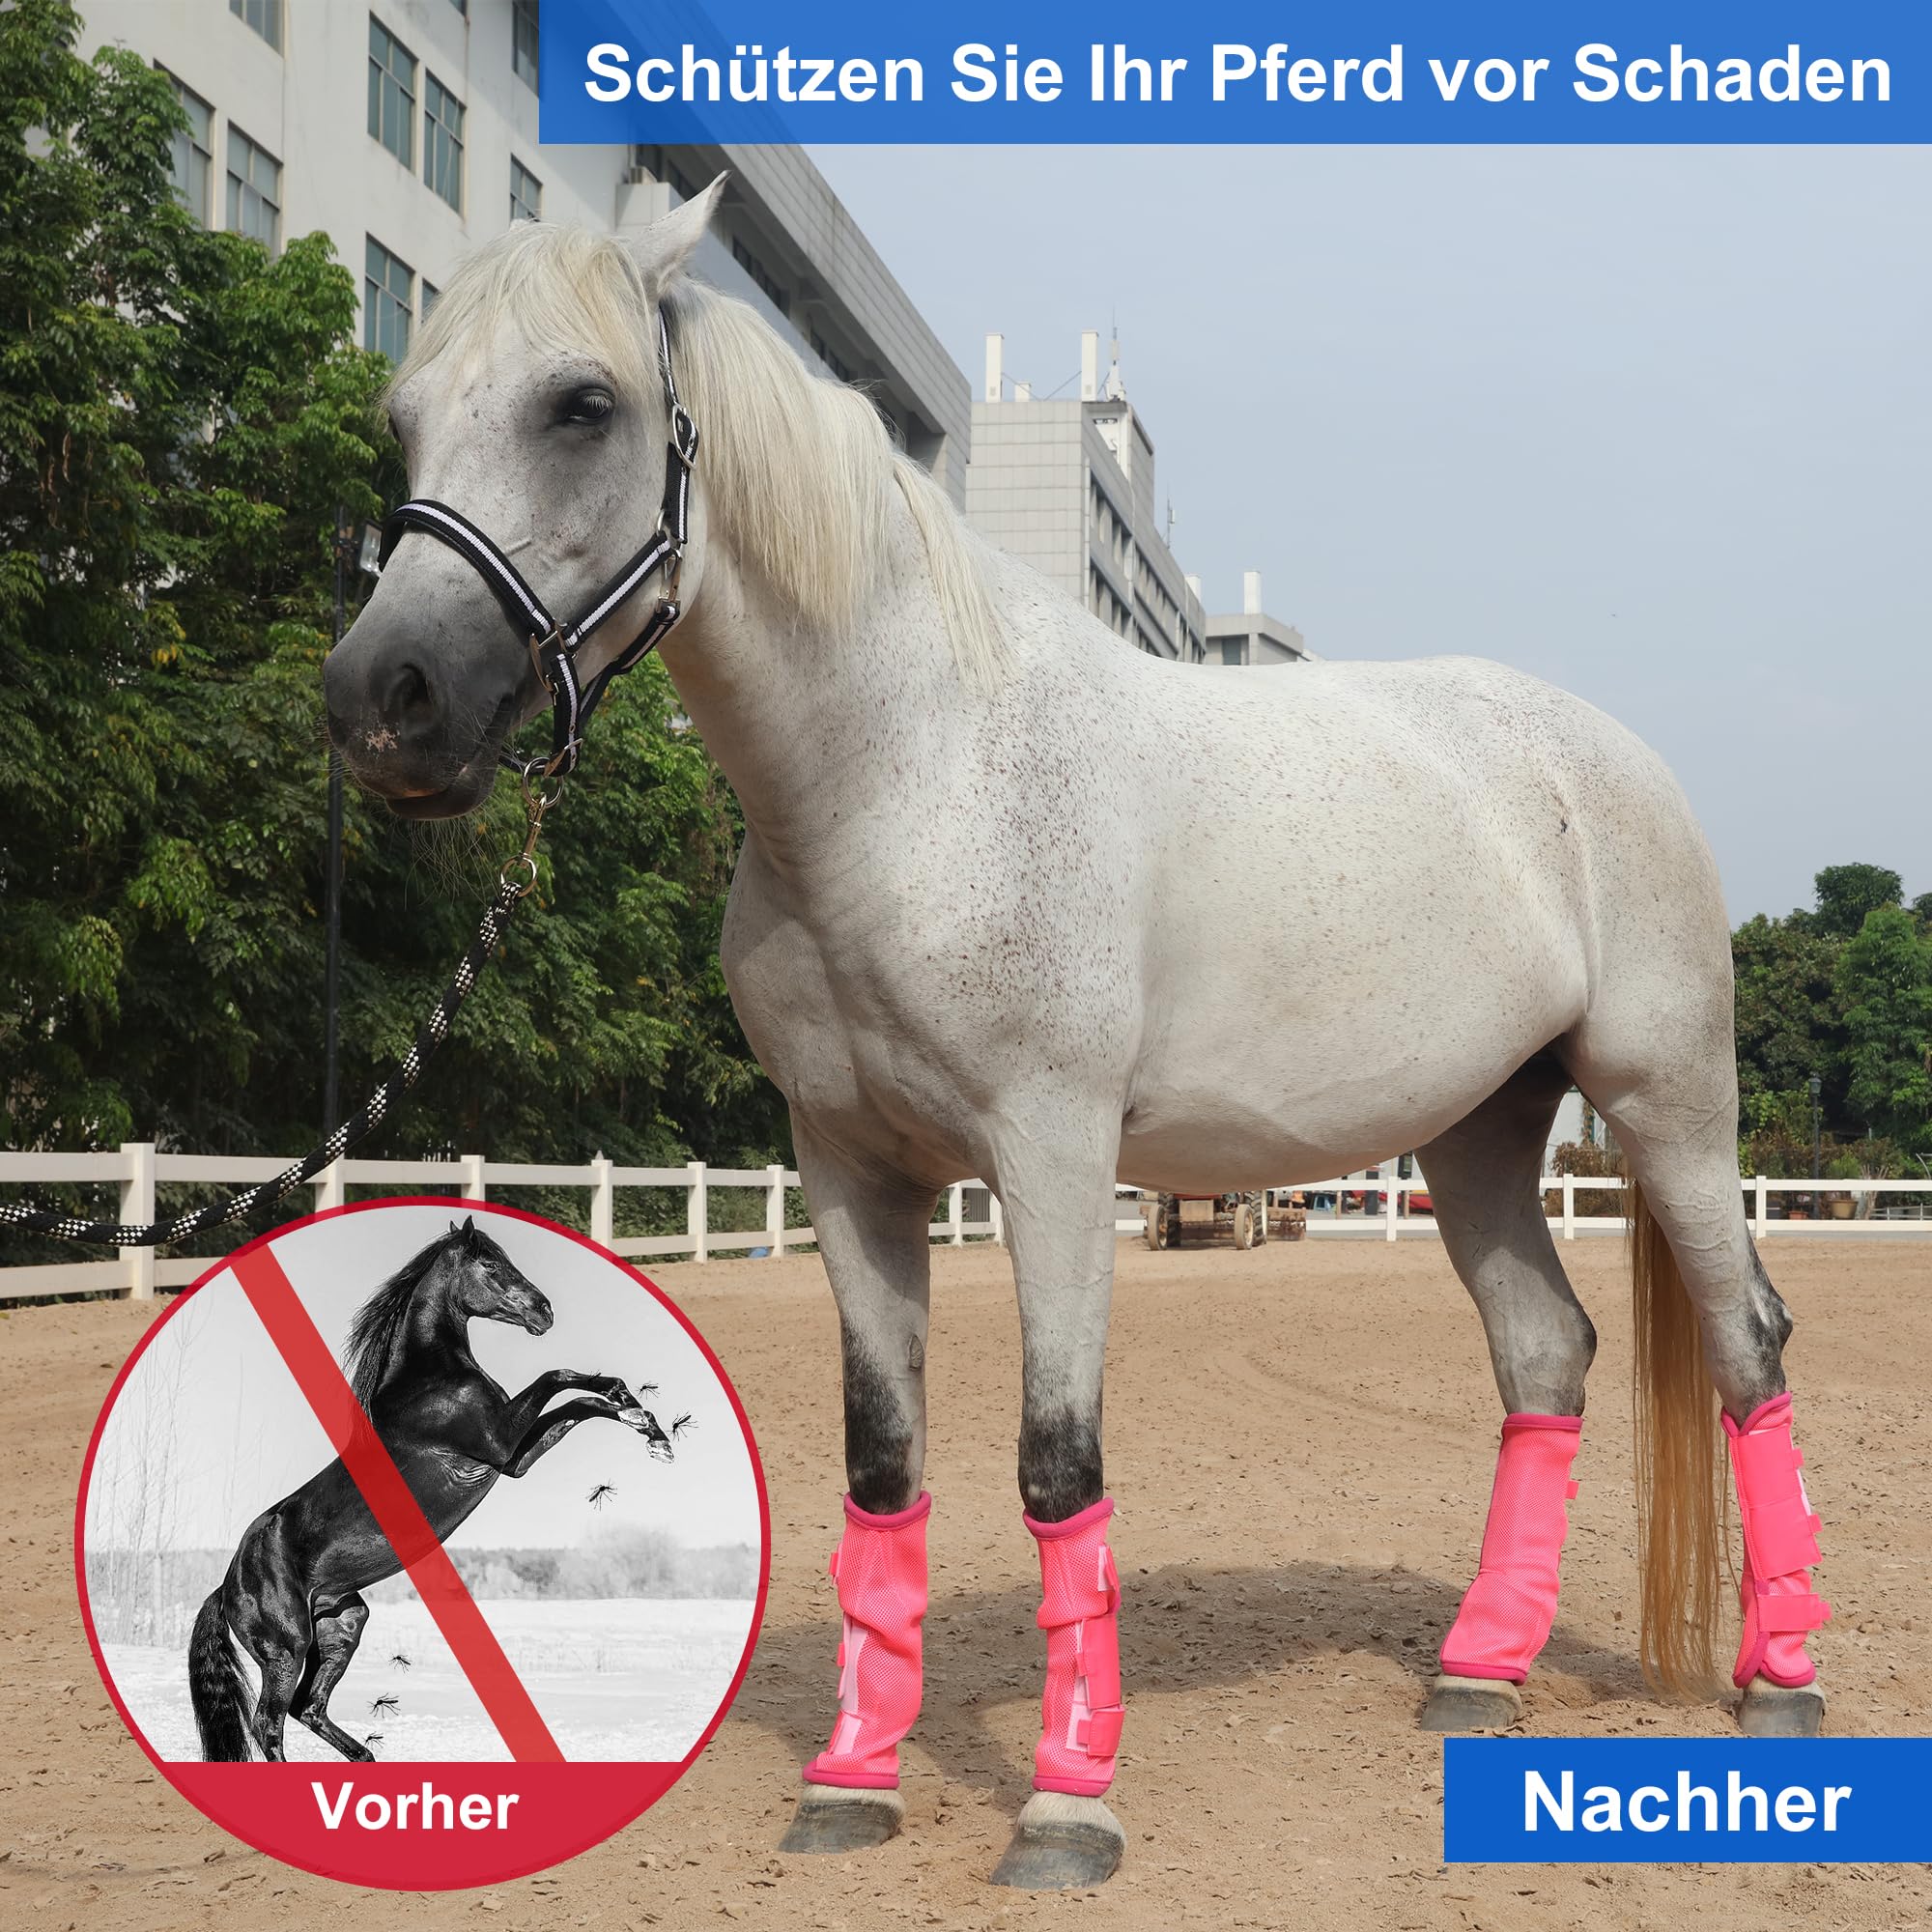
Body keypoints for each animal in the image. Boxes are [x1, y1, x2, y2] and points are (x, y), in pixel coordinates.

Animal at [189, 1217, 675, 1761]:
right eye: (491, 1263)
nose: (544, 1312)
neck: (429, 1381)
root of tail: (227, 1588)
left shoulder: (514, 1460)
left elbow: (580, 1403)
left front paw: (648, 1426)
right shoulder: (500, 1442)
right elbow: (558, 1376)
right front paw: (636, 1411)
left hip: (341, 1625)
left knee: (307, 1707)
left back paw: (367, 1758)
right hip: (286, 1648)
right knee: (268, 1723)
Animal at [322, 186, 1828, 1886]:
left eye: (583, 404)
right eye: (402, 419)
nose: (384, 701)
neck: (915, 775)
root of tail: (1607, 757)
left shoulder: (1050, 1158)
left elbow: (1058, 1463)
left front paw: (1064, 1808)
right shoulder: (848, 1170)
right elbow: (884, 1467)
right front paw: (850, 1783)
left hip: (1667, 1107)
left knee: (1747, 1345)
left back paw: (1781, 1686)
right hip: (1479, 1136)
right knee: (1544, 1357)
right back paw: (1477, 1674)